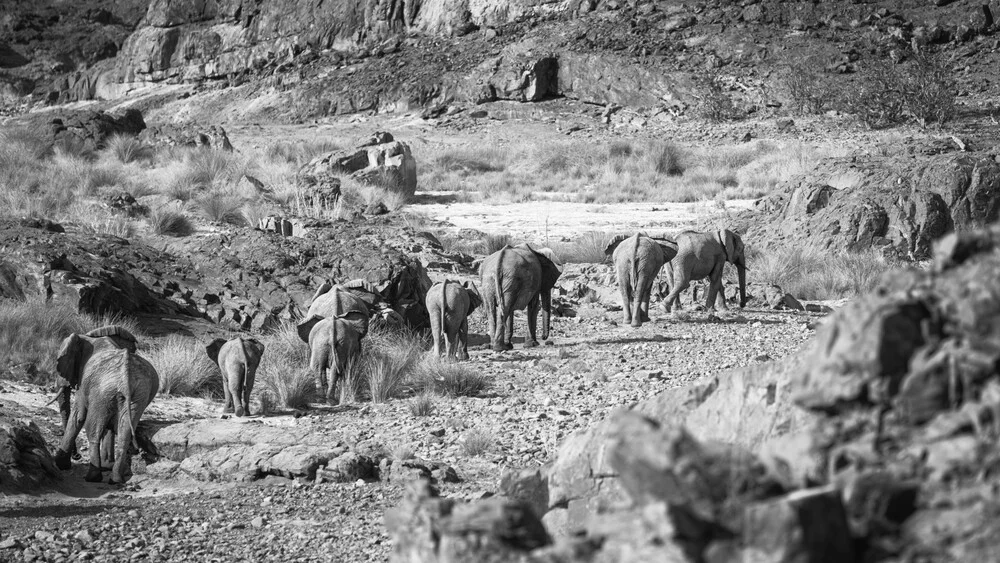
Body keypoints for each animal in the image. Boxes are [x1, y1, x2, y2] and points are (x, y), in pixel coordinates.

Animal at [52, 326, 157, 484]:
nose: (77, 456)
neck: (91, 338)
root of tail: (126, 372)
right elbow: (109, 425)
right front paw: (107, 466)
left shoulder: (84, 383)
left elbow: (78, 416)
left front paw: (59, 464)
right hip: (138, 393)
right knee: (124, 430)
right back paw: (116, 479)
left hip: (103, 390)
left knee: (92, 430)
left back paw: (92, 477)